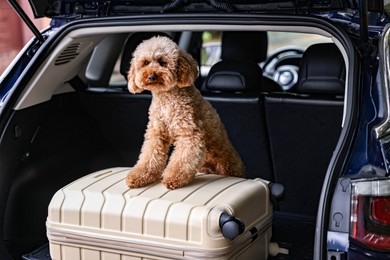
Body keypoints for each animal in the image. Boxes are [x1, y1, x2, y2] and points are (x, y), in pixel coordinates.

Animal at [127, 35, 244, 189]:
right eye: (145, 62)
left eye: (162, 62)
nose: (151, 76)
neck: (166, 98)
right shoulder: (157, 134)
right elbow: (149, 156)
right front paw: (139, 176)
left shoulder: (190, 134)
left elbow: (182, 159)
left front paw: (173, 178)